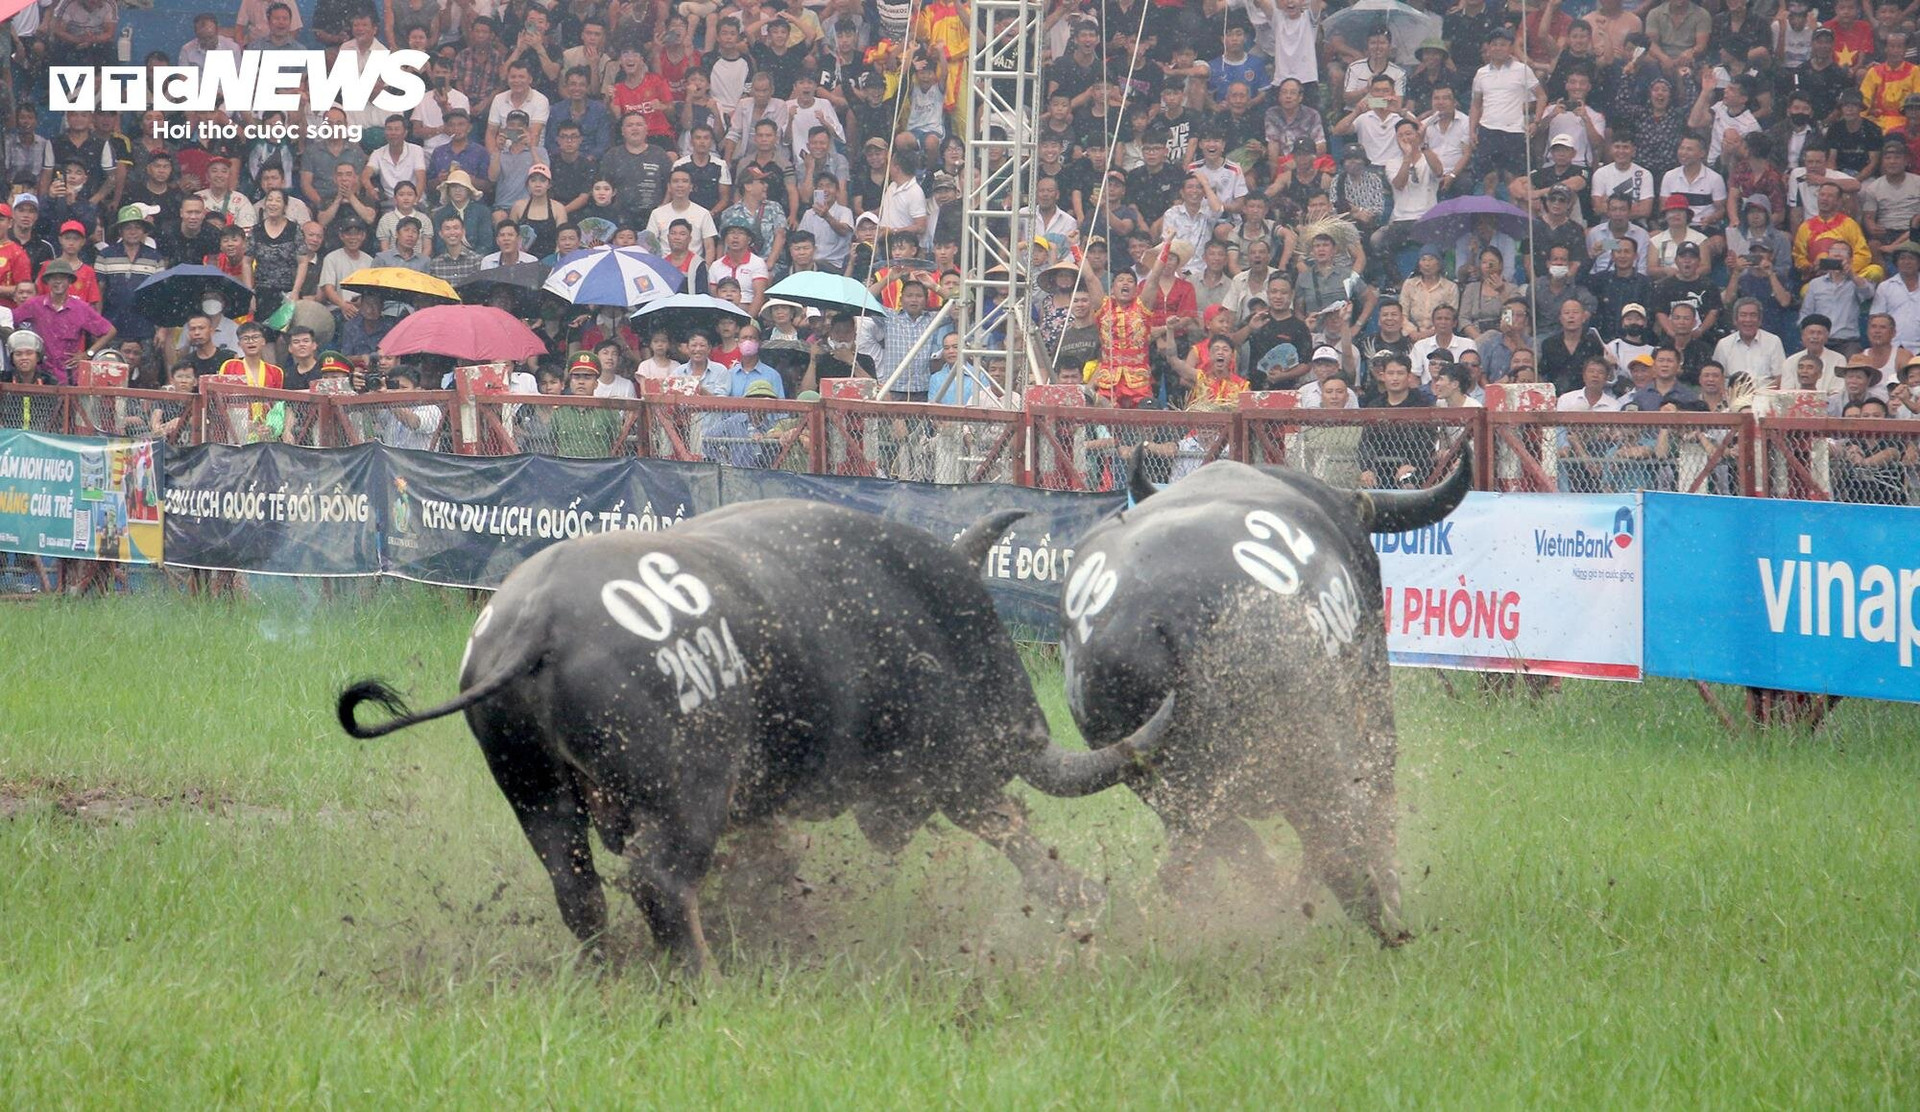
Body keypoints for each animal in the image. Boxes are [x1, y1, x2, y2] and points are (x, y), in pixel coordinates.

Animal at [336, 499, 1167, 979]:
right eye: (980, 637)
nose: (1027, 726)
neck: (904, 607)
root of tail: (534, 623)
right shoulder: (945, 768)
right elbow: (1009, 826)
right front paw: (1082, 897)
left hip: (538, 796)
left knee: (580, 891)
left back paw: (607, 976)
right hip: (685, 798)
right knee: (658, 882)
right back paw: (702, 982)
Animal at [1067, 447, 1466, 944]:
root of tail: (1158, 612)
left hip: (1154, 775)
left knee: (1213, 853)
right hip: (1313, 747)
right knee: (1336, 841)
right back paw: (1382, 924)